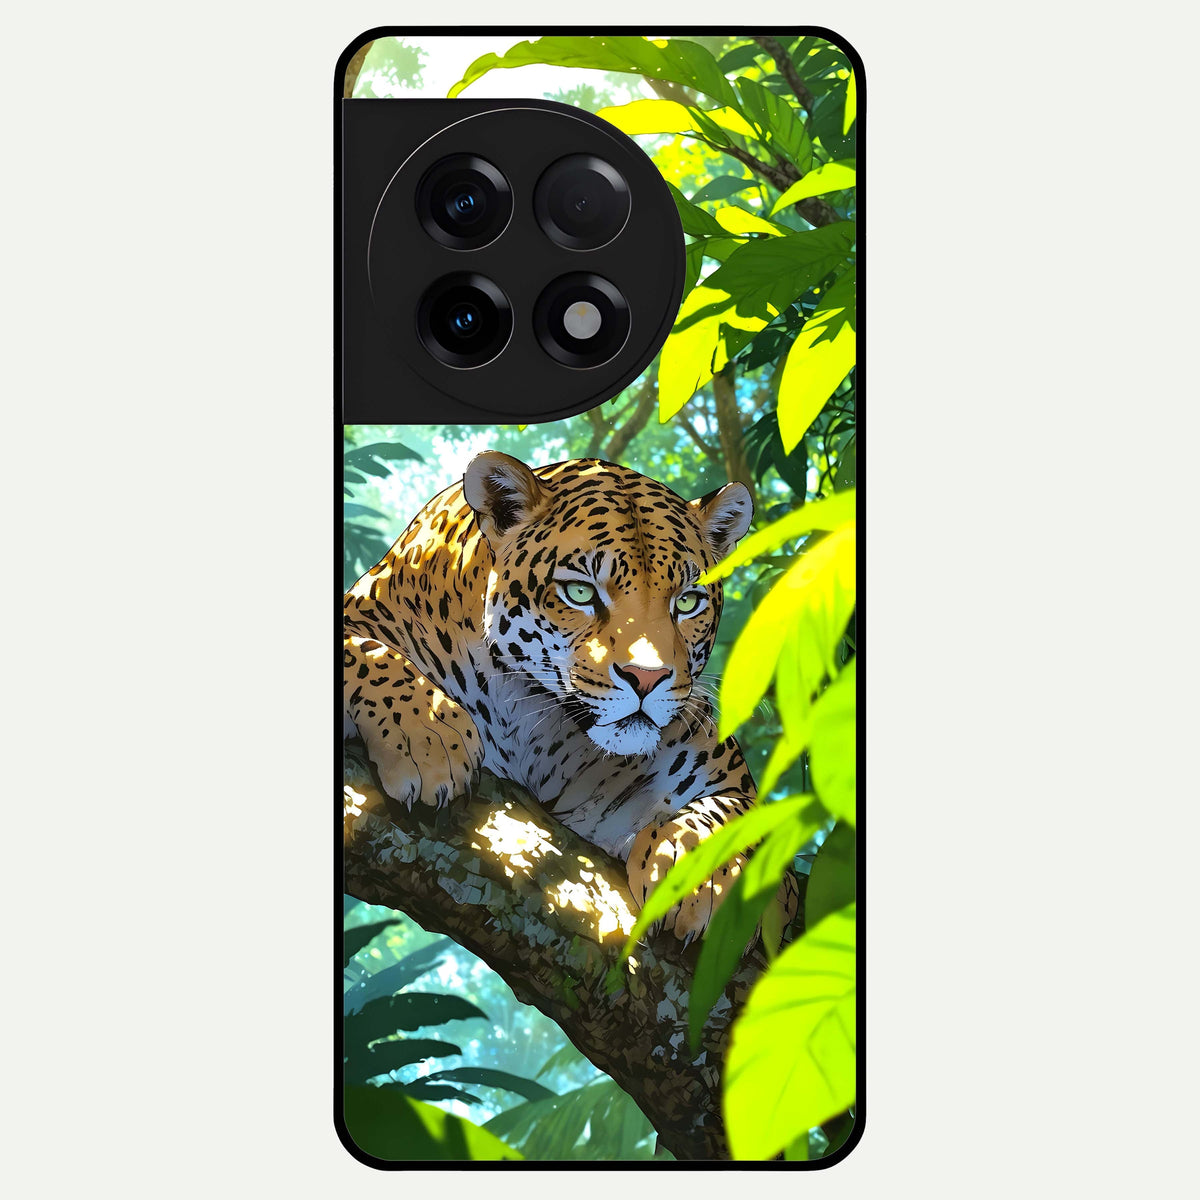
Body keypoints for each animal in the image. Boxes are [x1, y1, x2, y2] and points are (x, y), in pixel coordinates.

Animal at [343, 451, 797, 943]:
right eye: (580, 592)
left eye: (687, 602)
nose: (647, 677)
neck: (531, 723)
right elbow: (362, 651)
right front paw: (428, 736)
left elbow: (741, 813)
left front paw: (701, 874)